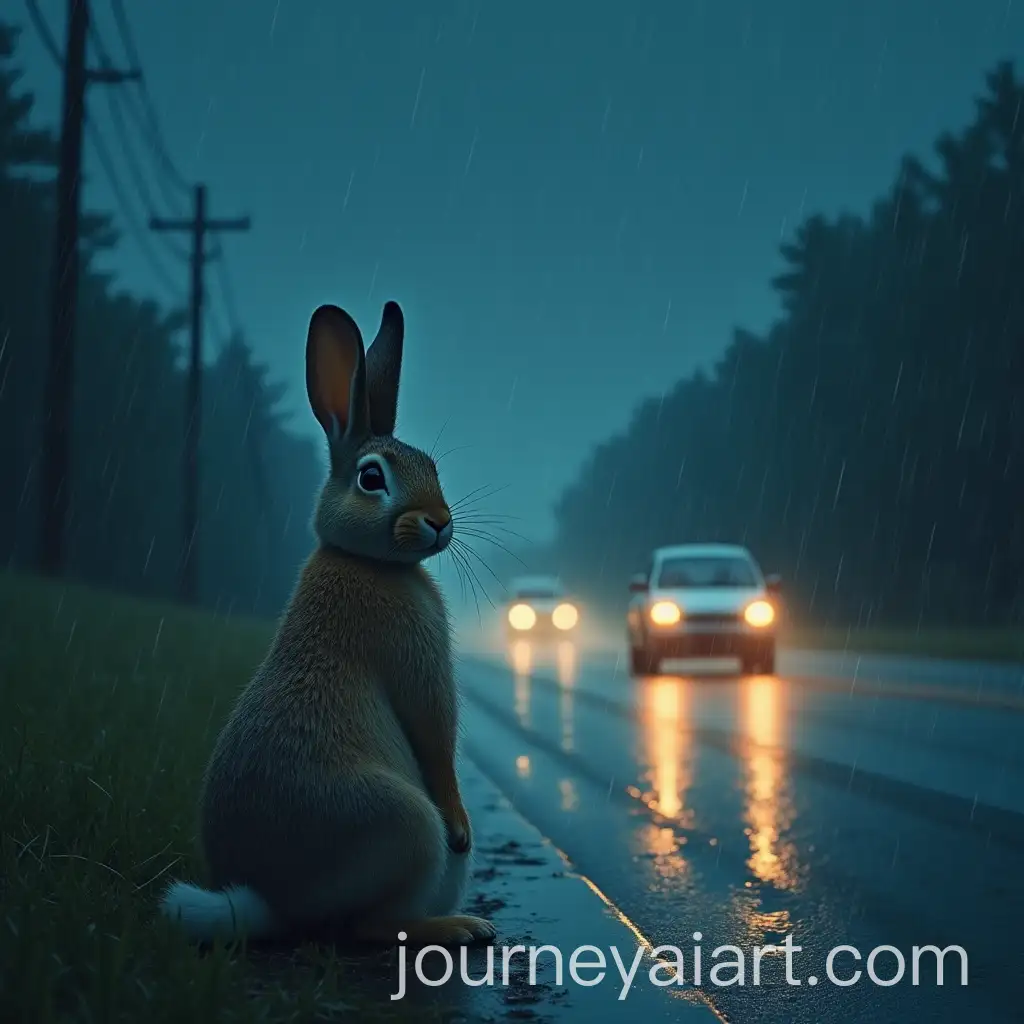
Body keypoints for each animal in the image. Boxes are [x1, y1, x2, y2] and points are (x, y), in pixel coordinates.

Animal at [158, 300, 495, 948]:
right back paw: (460, 927)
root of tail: (274, 902)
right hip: (405, 827)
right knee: (365, 926)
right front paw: (463, 823)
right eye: (372, 478)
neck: (367, 560)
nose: (439, 522)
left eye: (432, 466)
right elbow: (436, 739)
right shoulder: (417, 664)